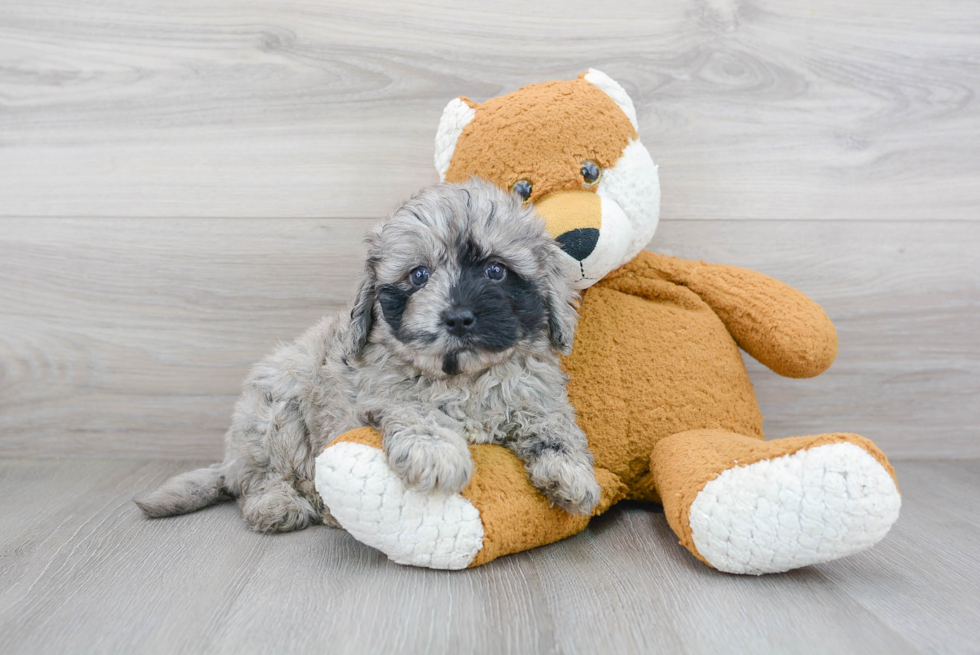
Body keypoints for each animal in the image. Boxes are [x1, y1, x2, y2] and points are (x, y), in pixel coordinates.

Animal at [135, 178, 600, 532]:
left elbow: (554, 425)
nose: (458, 318)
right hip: (272, 416)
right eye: (419, 275)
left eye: (496, 270)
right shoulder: (380, 396)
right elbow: (417, 409)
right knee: (259, 479)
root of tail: (231, 460)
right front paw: (437, 454)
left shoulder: (535, 394)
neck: (464, 376)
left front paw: (572, 473)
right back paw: (280, 504)